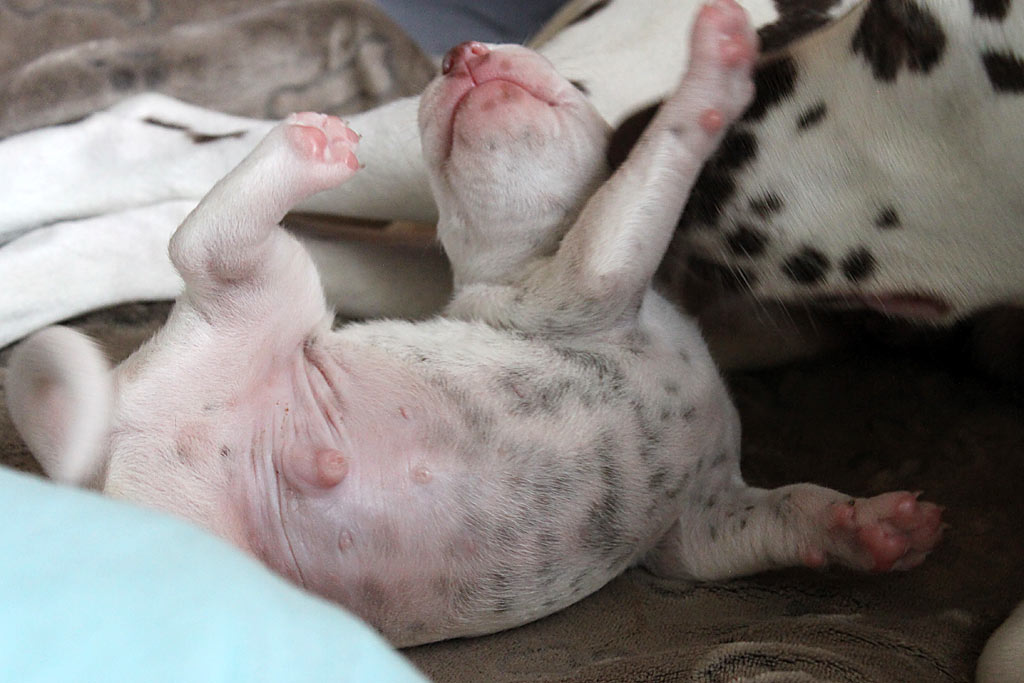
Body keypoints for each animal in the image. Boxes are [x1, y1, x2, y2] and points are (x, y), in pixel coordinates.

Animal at [5, 1, 944, 647]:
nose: (460, 54)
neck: (525, 250)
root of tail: (111, 448)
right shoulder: (591, 273)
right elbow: (658, 159)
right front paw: (715, 66)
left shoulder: (698, 526)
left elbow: (786, 509)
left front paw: (875, 527)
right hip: (274, 286)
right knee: (202, 235)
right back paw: (306, 149)